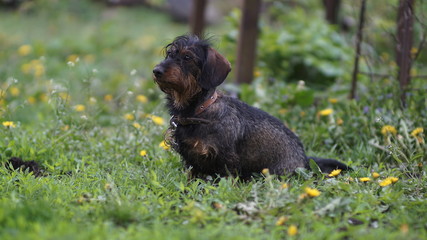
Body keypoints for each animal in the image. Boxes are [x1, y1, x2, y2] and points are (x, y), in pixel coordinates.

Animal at [154, 34, 352, 179]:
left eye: (187, 57)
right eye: (170, 54)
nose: (156, 71)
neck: (199, 111)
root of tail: (304, 160)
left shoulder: (226, 160)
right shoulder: (191, 161)